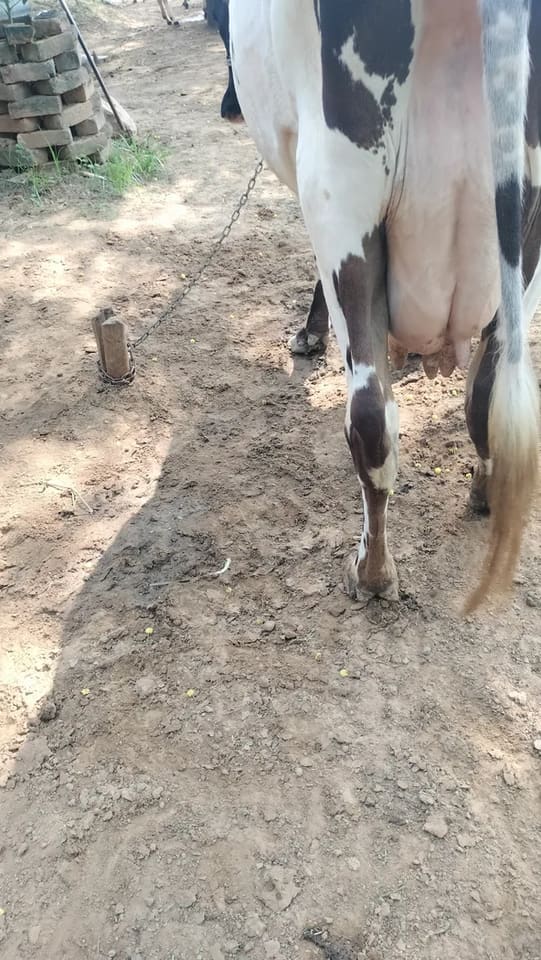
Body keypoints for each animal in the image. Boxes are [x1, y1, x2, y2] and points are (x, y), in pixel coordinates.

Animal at [228, 0, 541, 610]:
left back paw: (371, 573)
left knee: (371, 416)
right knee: (491, 387)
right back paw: (484, 493)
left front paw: (310, 335)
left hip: (342, 191)